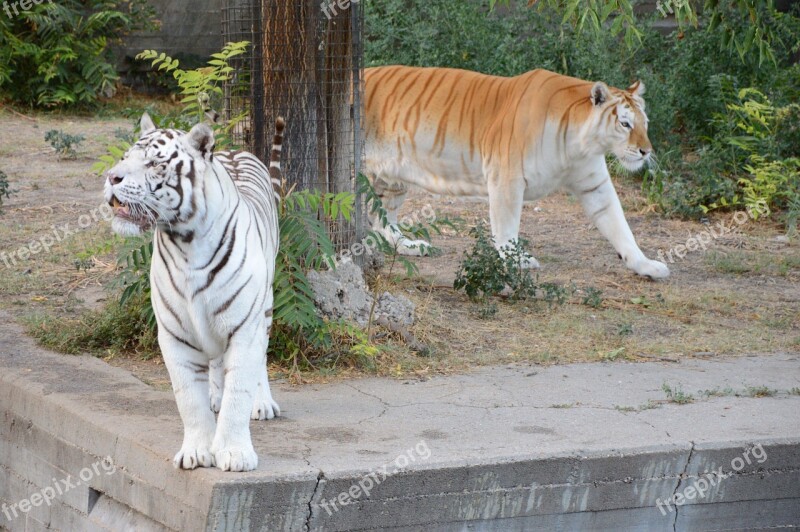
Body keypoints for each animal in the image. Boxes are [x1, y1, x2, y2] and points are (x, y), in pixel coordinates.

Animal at [103, 114, 284, 472]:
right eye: (124, 157)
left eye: (154, 163)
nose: (112, 177)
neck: (185, 242)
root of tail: (234, 150)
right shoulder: (176, 333)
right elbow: (189, 399)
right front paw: (197, 452)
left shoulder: (244, 328)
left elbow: (238, 393)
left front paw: (235, 454)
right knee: (215, 364)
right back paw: (215, 396)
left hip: (265, 307)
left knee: (259, 361)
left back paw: (263, 403)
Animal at [362, 66, 668, 278]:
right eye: (625, 124)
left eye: (645, 123)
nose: (646, 151)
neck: (579, 145)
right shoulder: (506, 178)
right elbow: (507, 226)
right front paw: (517, 260)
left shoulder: (595, 185)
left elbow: (620, 226)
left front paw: (646, 265)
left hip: (391, 180)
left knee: (382, 220)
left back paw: (409, 246)